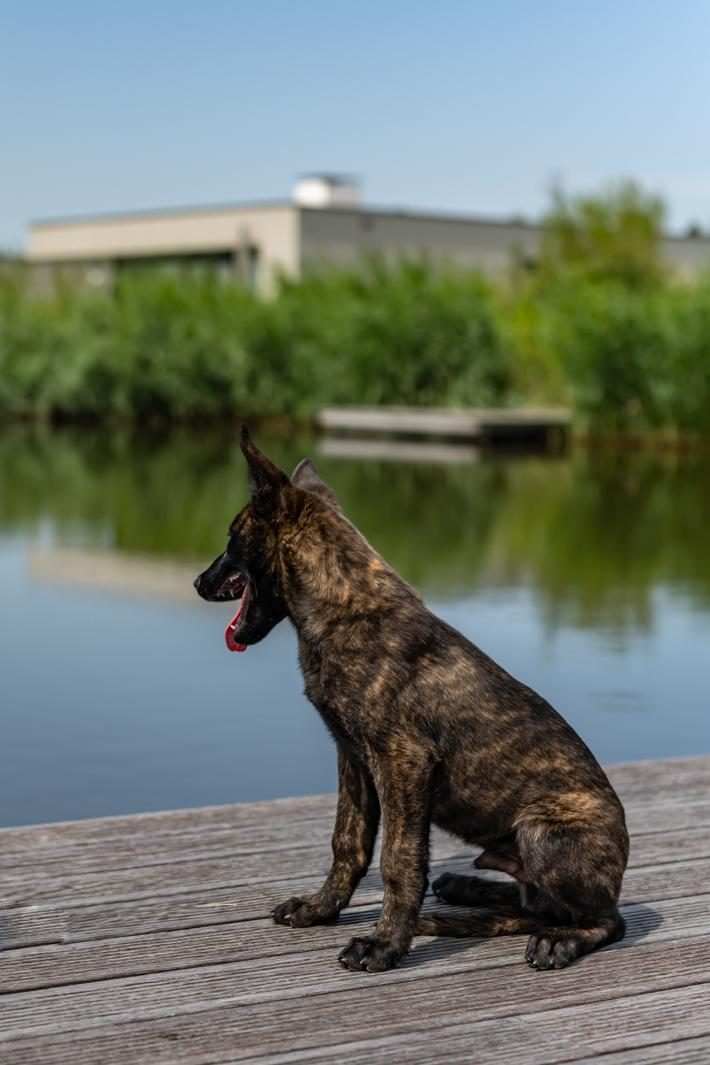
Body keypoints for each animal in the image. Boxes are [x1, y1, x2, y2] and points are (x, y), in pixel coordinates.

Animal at [192, 426, 625, 975]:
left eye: (232, 540)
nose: (198, 582)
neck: (347, 609)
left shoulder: (403, 762)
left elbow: (397, 860)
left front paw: (384, 944)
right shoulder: (353, 758)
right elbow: (348, 843)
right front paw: (320, 909)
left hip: (543, 832)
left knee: (600, 919)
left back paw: (556, 939)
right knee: (532, 904)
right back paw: (466, 890)